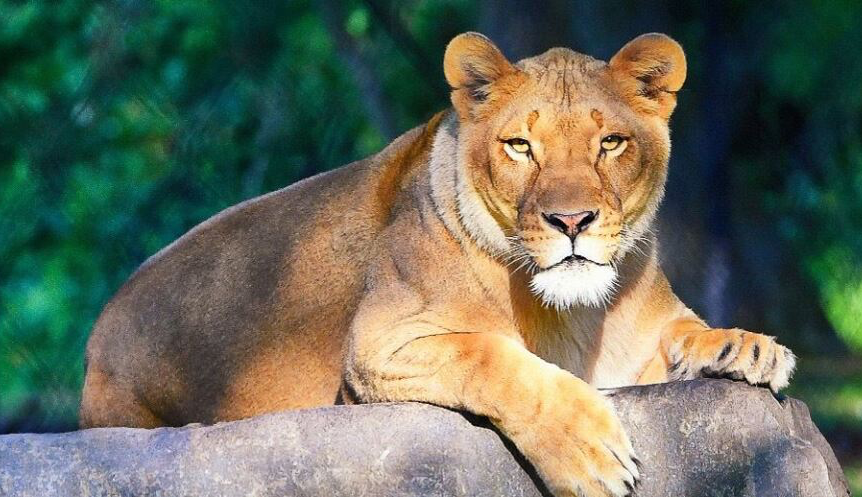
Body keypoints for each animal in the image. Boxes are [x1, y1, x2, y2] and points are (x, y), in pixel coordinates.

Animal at [80, 32, 796, 497]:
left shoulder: (641, 345)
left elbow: (684, 331)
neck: (576, 313)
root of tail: (99, 330)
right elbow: (492, 355)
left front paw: (746, 346)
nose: (571, 223)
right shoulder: (376, 349)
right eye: (520, 146)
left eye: (611, 142)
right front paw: (589, 453)